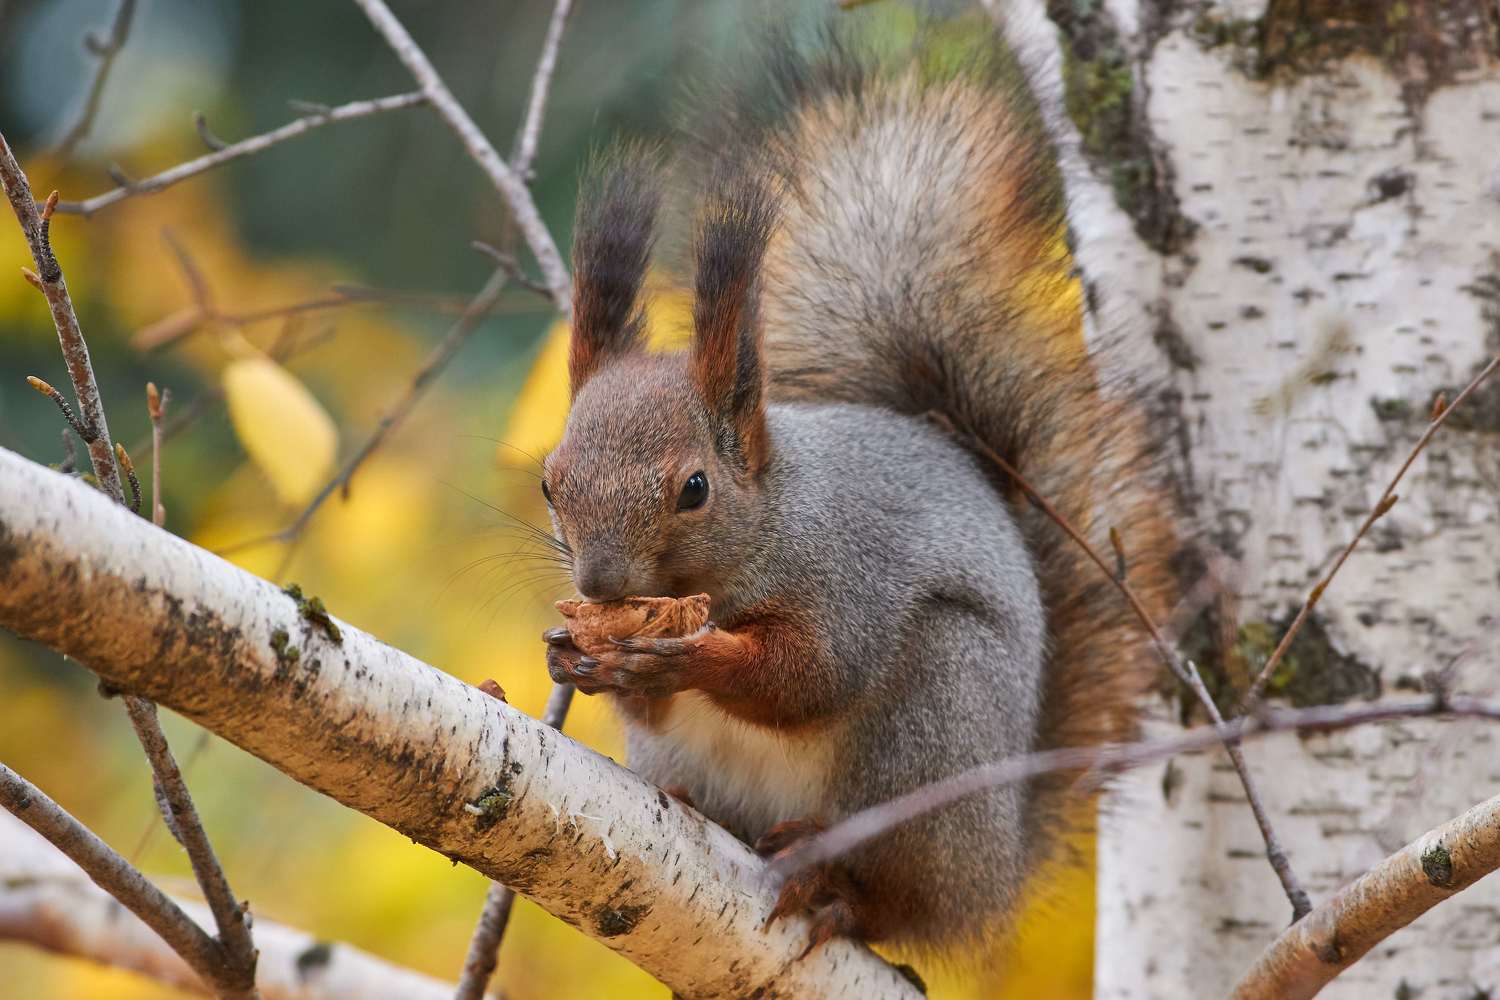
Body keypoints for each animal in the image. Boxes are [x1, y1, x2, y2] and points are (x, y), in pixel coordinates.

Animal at [539, 20, 1178, 959]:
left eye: (694, 488)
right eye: (550, 484)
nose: (599, 584)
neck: (770, 522)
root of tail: (999, 868)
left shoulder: (847, 576)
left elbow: (809, 677)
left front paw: (691, 655)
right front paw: (578, 656)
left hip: (932, 729)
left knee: (900, 900)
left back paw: (831, 885)